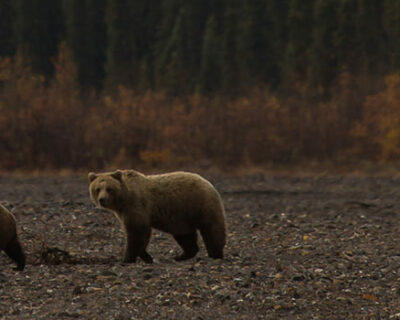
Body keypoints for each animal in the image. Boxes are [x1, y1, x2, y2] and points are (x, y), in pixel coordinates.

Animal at [88, 170, 227, 262]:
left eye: (109, 188)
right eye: (97, 189)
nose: (102, 199)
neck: (124, 200)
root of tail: (208, 183)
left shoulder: (137, 206)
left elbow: (136, 232)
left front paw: (127, 258)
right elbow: (141, 236)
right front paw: (146, 257)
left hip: (200, 205)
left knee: (212, 229)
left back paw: (215, 254)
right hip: (181, 217)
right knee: (185, 236)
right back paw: (181, 256)